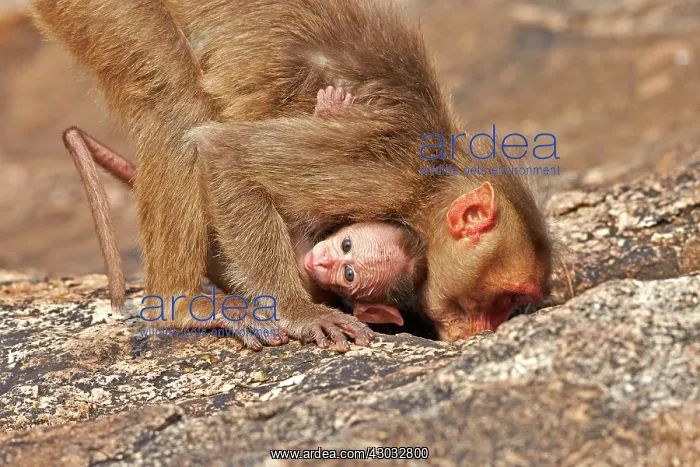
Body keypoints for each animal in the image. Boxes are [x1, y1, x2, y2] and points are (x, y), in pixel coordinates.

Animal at [31, 0, 552, 350]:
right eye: (505, 298)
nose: (484, 332)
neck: (433, 186)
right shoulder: (384, 166)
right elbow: (227, 154)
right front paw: (299, 312)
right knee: (173, 103)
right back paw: (180, 306)